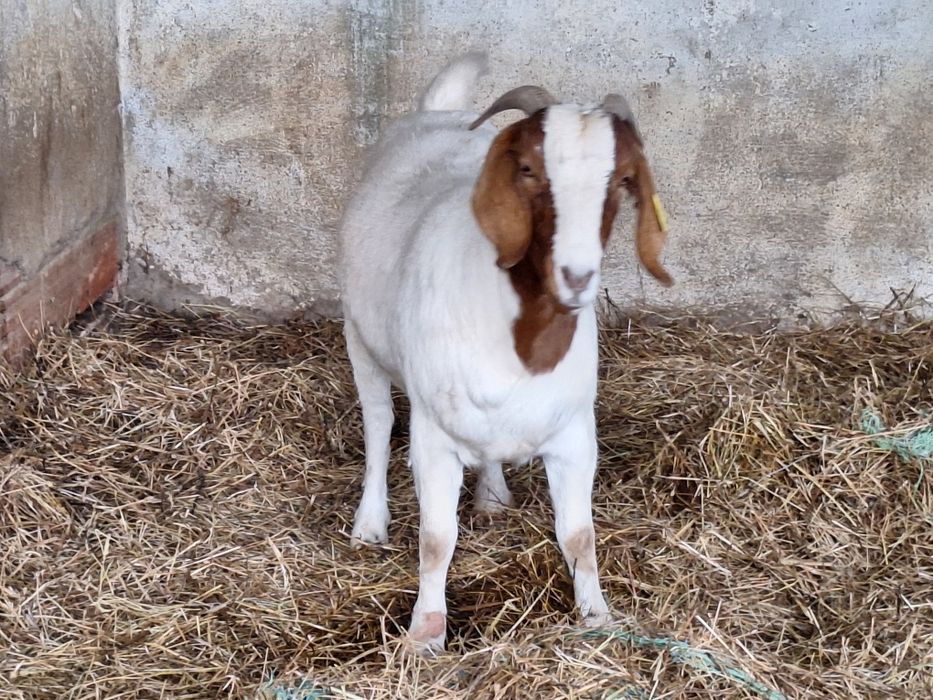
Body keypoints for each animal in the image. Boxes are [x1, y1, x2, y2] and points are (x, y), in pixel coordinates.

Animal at [338, 51, 672, 652]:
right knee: (377, 425)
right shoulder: (434, 438)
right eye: (529, 170)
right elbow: (436, 539)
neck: (524, 344)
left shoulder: (574, 434)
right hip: (360, 337)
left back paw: (492, 498)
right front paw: (425, 634)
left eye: (621, 179)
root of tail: (436, 113)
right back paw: (370, 522)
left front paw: (598, 617)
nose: (577, 276)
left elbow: (580, 535)